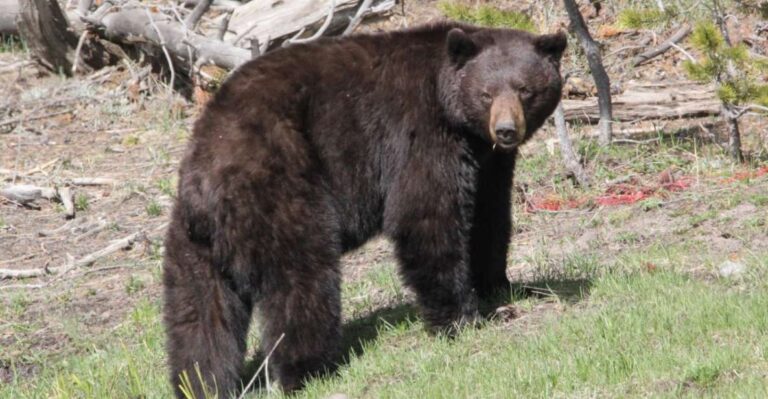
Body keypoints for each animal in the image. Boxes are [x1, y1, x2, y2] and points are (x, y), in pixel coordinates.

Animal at [164, 22, 564, 399]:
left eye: (525, 90)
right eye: (486, 94)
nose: (506, 130)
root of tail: (203, 183)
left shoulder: (488, 163)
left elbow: (489, 216)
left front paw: (499, 287)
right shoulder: (419, 135)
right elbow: (425, 217)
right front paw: (461, 318)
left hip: (191, 249)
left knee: (199, 318)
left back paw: (200, 384)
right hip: (279, 191)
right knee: (301, 281)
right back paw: (309, 370)